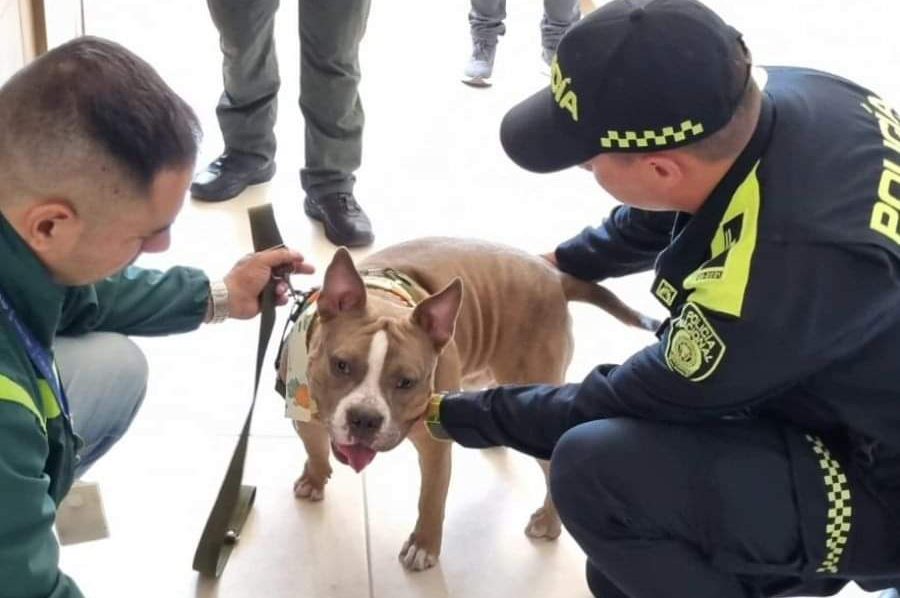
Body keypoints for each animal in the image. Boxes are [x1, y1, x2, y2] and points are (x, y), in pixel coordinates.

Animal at [278, 238, 656, 572]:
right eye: (340, 365)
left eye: (407, 382)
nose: (364, 419)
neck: (388, 297)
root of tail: (554, 276)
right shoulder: (303, 410)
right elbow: (314, 447)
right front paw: (314, 478)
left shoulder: (434, 446)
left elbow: (431, 499)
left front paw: (423, 546)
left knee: (550, 461)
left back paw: (548, 521)